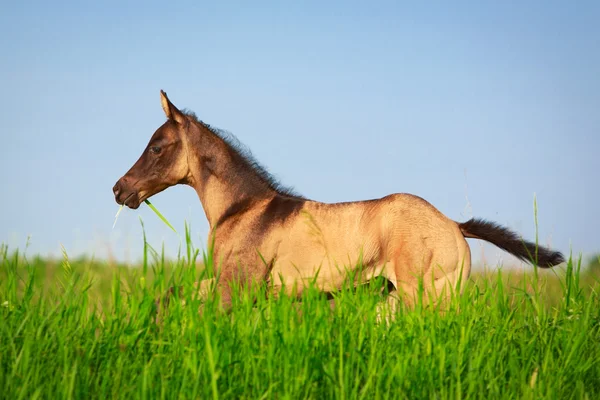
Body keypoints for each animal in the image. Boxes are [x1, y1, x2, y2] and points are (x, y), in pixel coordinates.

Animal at [113, 90, 568, 312]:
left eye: (157, 146)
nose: (119, 189)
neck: (243, 209)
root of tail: (455, 226)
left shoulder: (234, 288)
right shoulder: (232, 286)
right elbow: (170, 294)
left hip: (428, 298)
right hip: (395, 300)